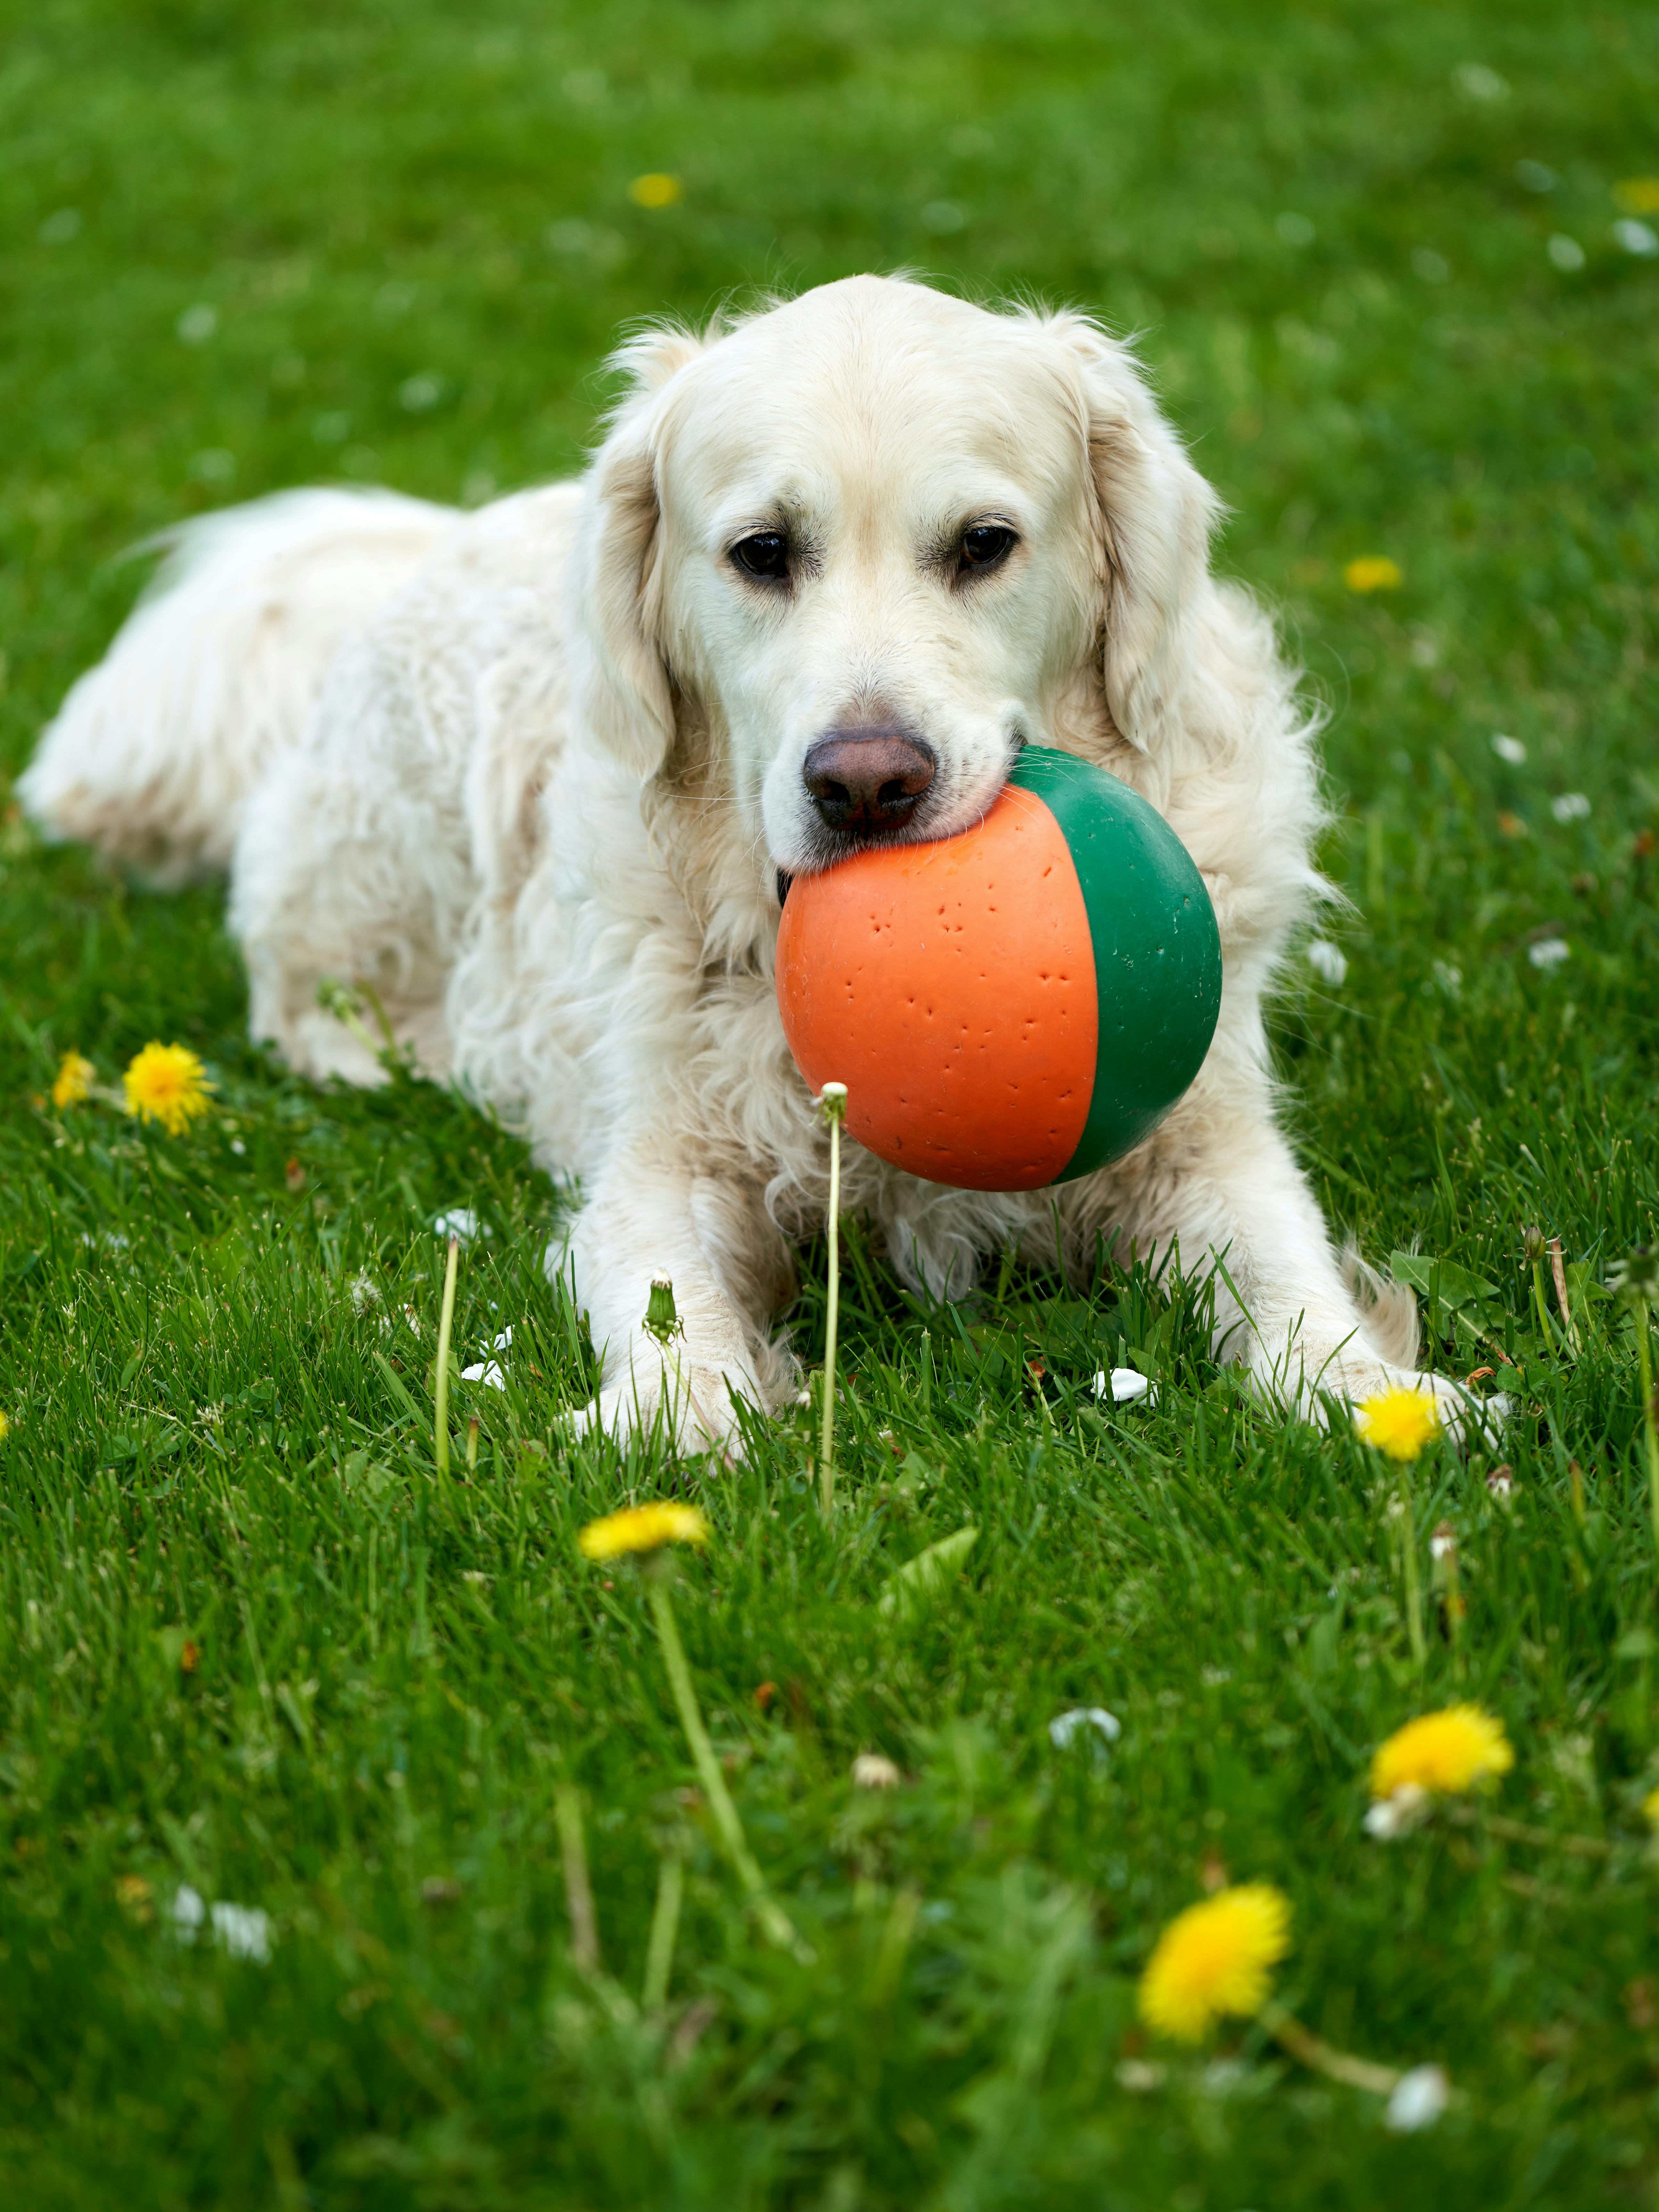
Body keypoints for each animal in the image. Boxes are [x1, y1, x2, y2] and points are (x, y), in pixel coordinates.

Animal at [22, 272, 1477, 1451]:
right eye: (762, 552)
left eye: (984, 545)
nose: (866, 783)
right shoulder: (659, 1164)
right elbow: (666, 1300)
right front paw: (687, 1412)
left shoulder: (1205, 1139)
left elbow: (1284, 1273)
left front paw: (1370, 1393)